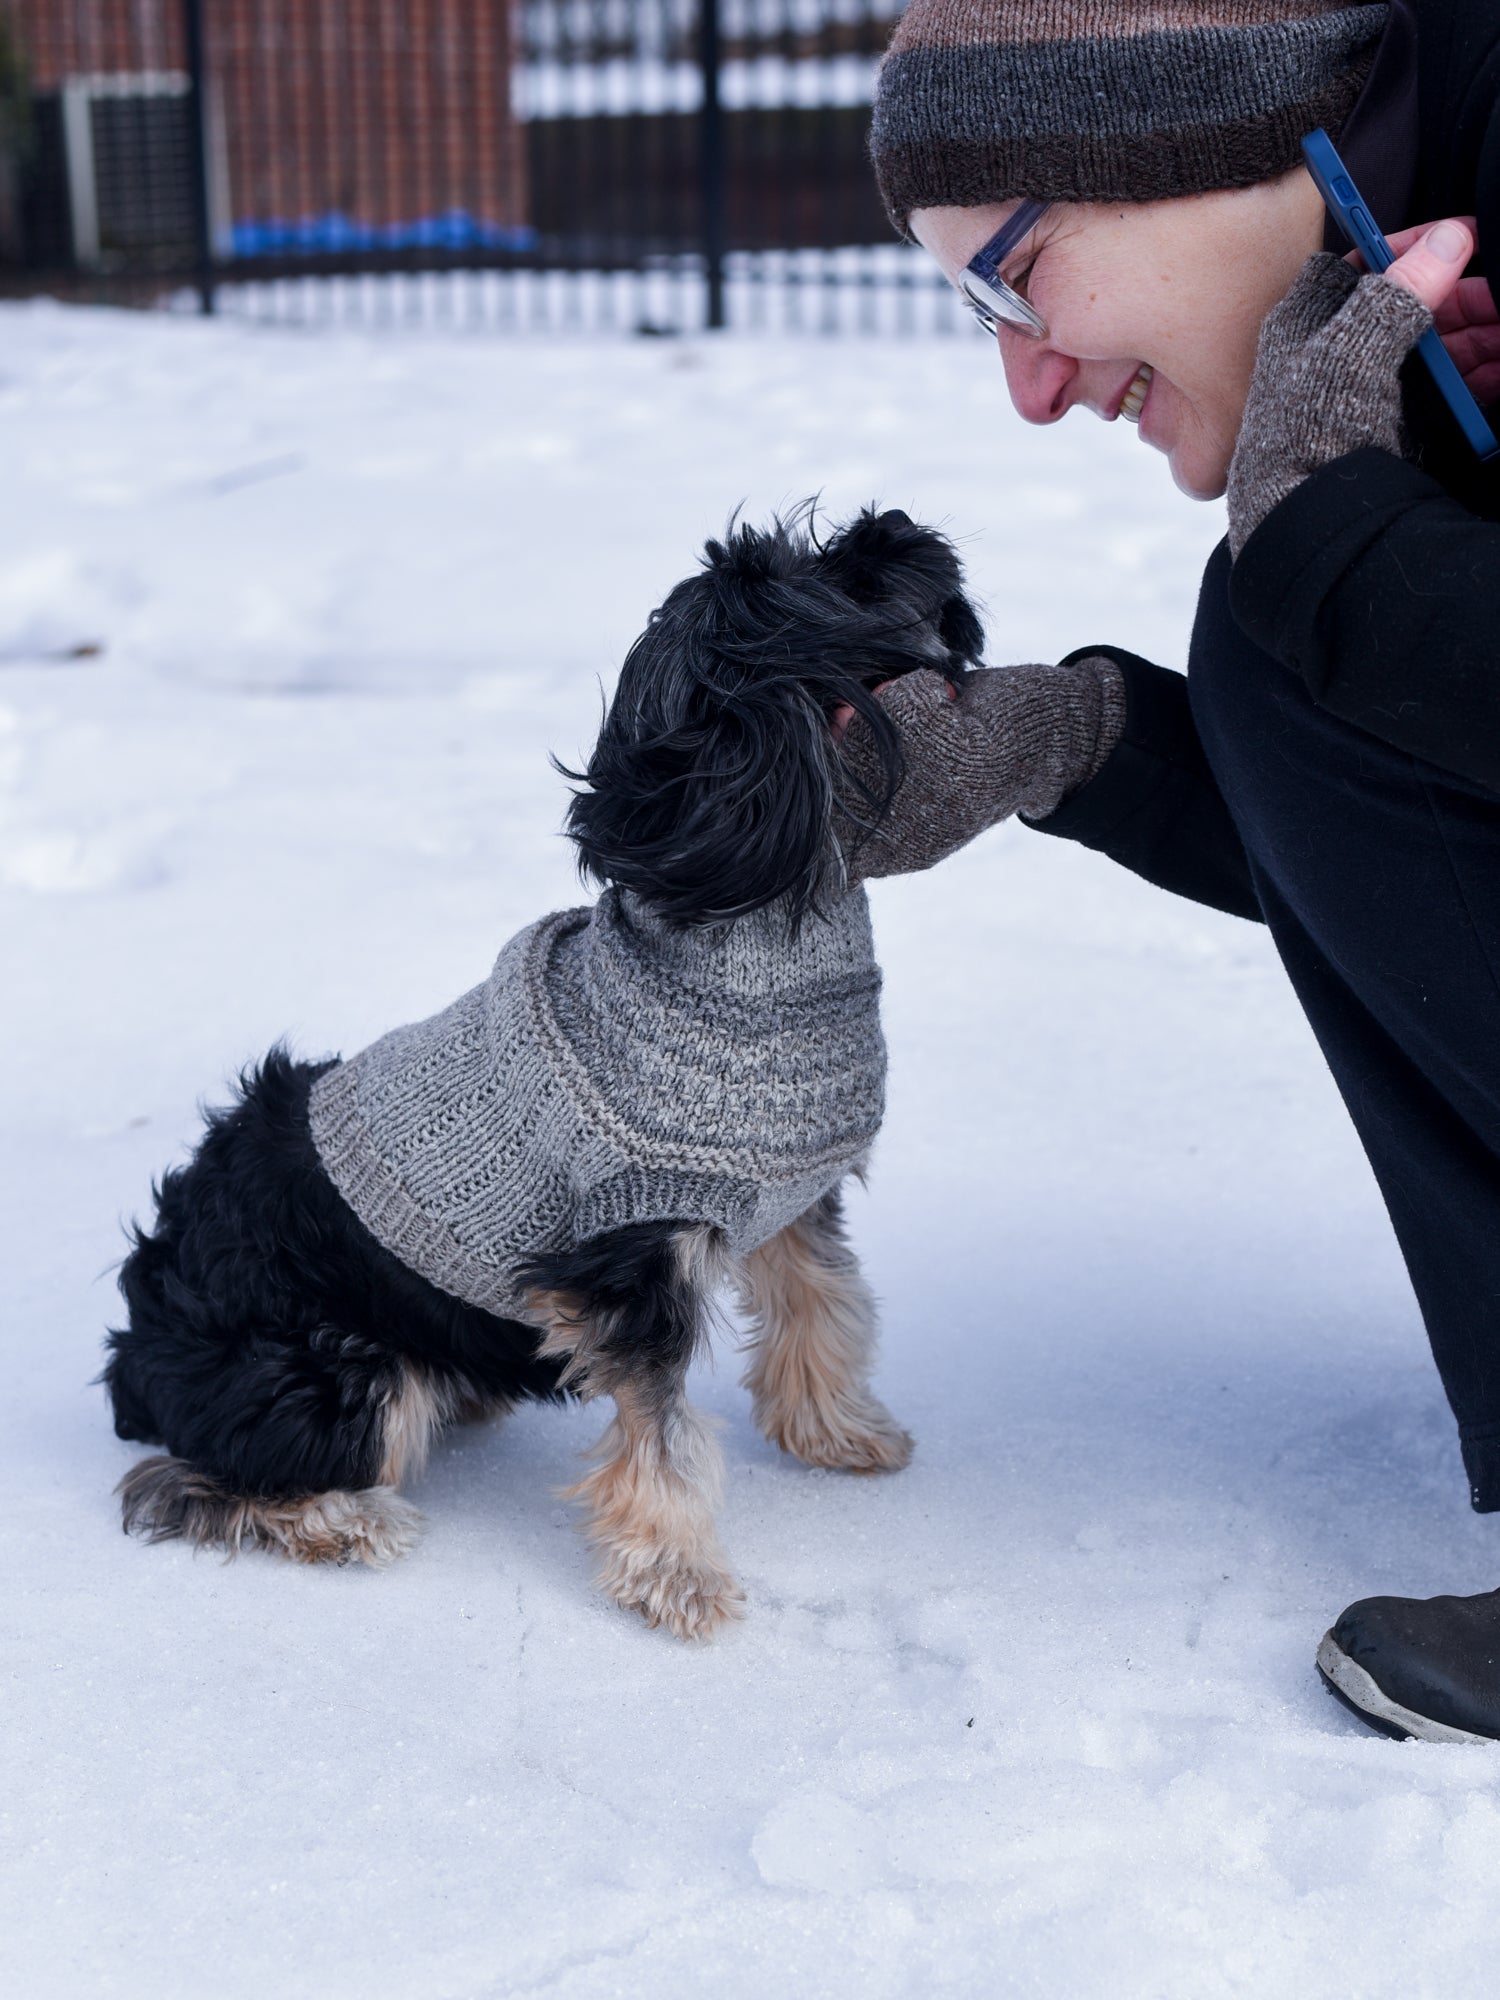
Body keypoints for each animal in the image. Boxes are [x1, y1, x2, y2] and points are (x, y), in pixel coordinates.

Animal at [108, 508, 988, 1632]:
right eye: (831, 579)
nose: (899, 525)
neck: (747, 947)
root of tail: (135, 1346)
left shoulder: (788, 1200)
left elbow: (825, 1308)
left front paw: (840, 1434)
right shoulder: (628, 1254)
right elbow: (663, 1436)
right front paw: (679, 1576)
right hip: (333, 1371)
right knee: (192, 1480)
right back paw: (343, 1519)